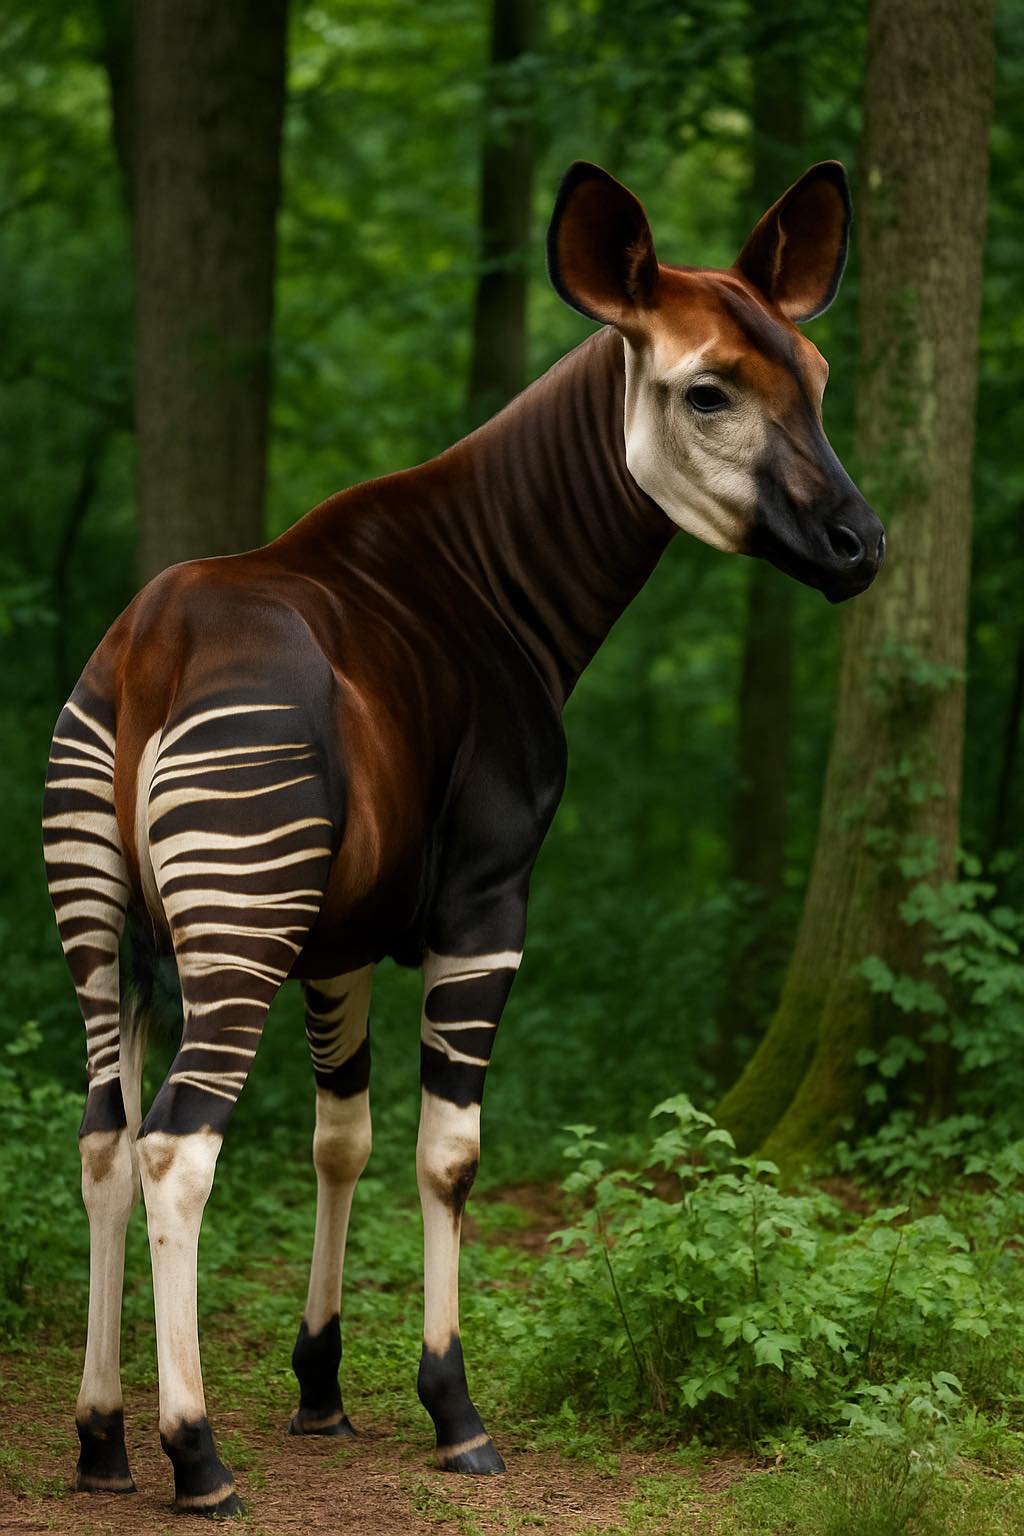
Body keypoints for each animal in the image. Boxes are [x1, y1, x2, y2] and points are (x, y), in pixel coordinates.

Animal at [43, 159, 883, 1515]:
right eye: (707, 390)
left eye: (813, 378)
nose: (863, 546)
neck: (495, 581)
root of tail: (150, 650)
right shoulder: (489, 899)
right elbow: (448, 1153)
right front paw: (453, 1407)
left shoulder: (339, 934)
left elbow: (340, 1139)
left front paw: (321, 1386)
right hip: (236, 924)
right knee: (178, 1146)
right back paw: (196, 1454)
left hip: (104, 928)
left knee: (104, 1139)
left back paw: (103, 1440)